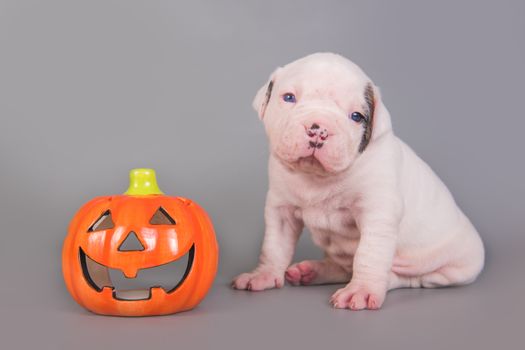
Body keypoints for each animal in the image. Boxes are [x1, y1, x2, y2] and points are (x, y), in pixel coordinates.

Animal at [231, 53, 486, 310]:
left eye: (356, 116)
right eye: (289, 97)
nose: (319, 130)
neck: (317, 177)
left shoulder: (377, 214)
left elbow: (369, 254)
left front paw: (362, 290)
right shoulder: (280, 209)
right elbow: (274, 245)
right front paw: (263, 275)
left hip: (454, 267)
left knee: (409, 278)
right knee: (344, 268)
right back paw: (312, 272)